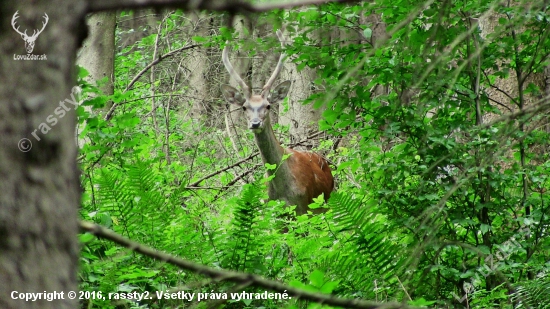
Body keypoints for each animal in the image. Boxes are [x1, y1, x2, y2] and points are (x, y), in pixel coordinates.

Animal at [221, 30, 334, 215]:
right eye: (244, 107)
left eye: (267, 105)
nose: (255, 123)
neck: (283, 192)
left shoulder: (302, 207)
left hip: (324, 204)